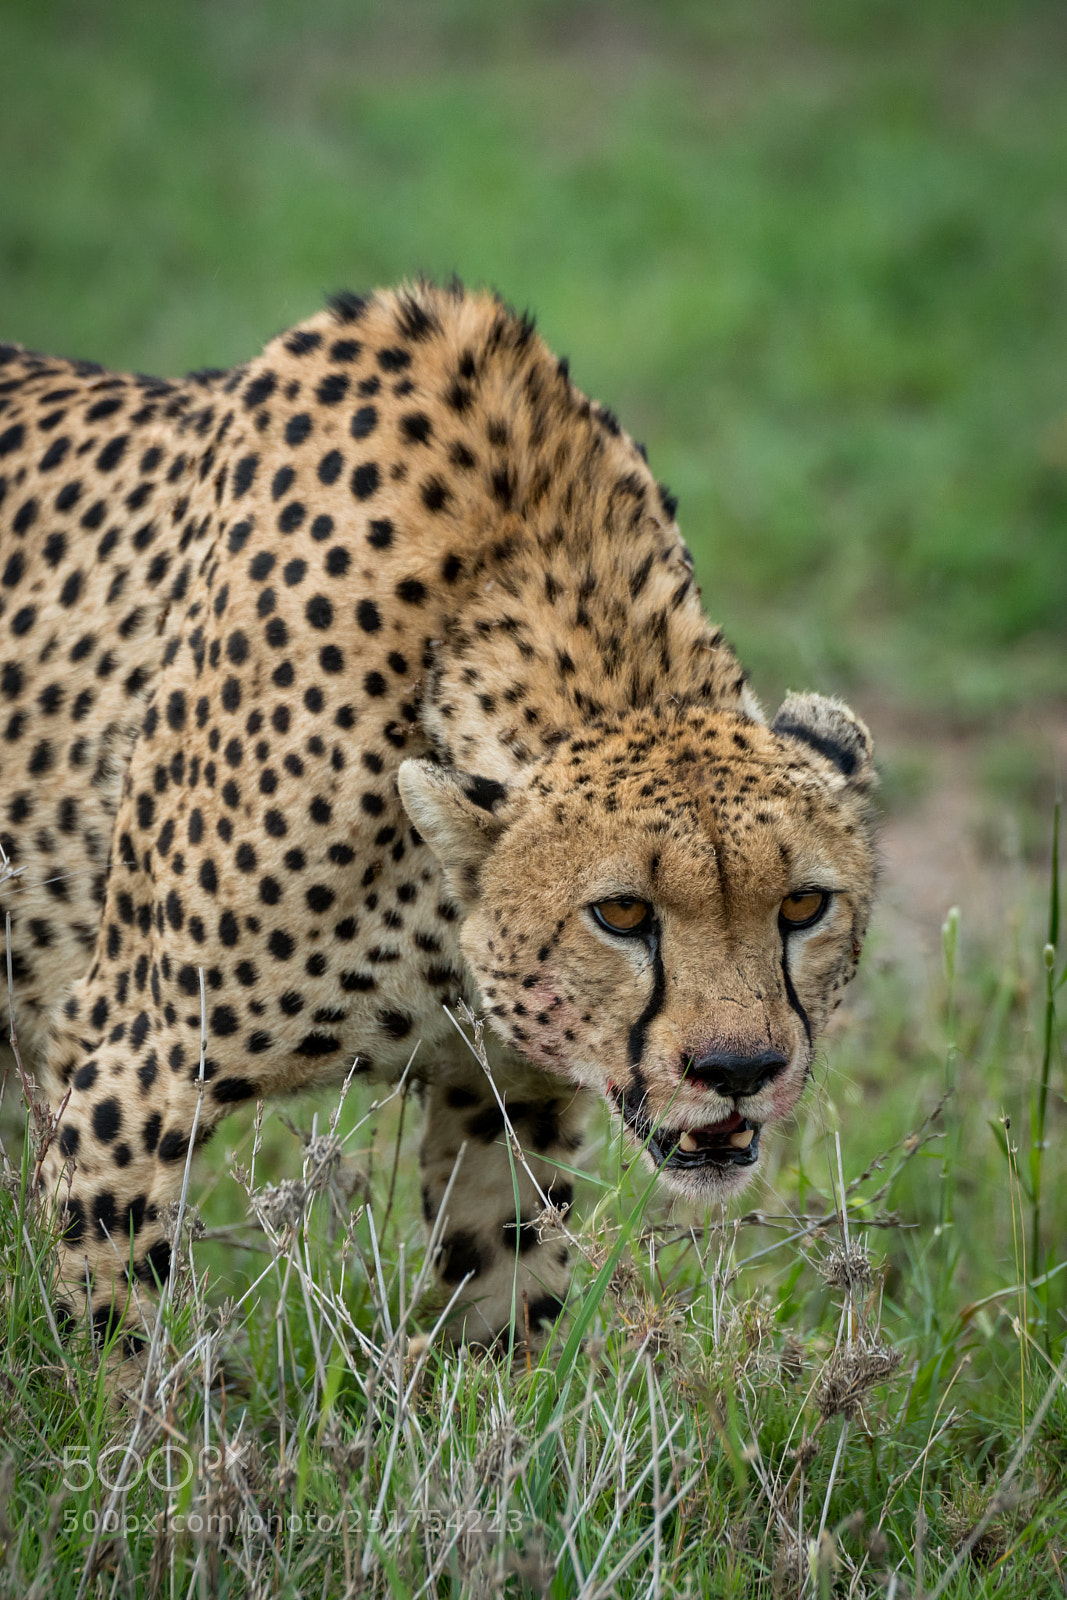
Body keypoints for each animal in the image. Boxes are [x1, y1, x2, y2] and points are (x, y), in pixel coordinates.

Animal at [0, 280, 877, 1360]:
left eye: (802, 906)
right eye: (622, 914)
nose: (739, 1068)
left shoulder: (506, 1098)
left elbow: (502, 1303)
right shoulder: (123, 1066)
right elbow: (110, 1351)